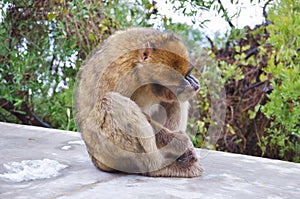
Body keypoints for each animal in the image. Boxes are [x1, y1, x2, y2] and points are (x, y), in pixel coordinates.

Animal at [75, 27, 204, 177]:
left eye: (186, 74)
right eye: (171, 85)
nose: (190, 81)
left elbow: (173, 101)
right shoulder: (118, 74)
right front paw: (178, 142)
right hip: (109, 159)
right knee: (109, 101)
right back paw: (158, 166)